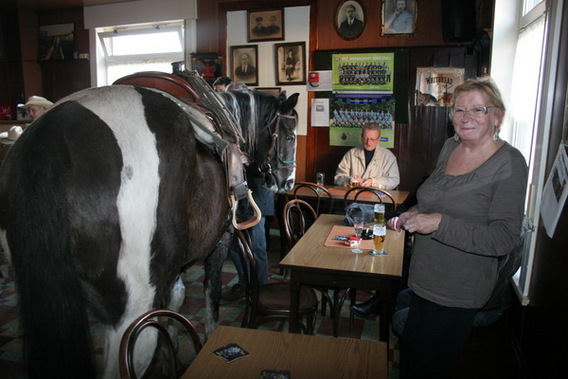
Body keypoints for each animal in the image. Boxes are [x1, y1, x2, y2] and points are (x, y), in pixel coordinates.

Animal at [0, 84, 300, 379]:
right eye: (290, 137)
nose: (287, 181)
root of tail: (51, 141)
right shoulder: (220, 242)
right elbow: (210, 296)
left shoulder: (175, 263)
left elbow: (175, 300)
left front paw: (171, 355)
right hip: (133, 310)